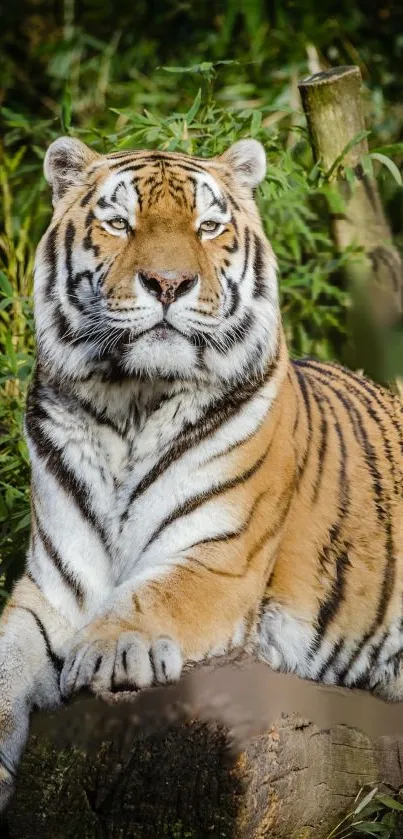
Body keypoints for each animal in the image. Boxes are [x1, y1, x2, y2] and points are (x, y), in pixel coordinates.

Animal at [0, 133, 403, 812]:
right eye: (119, 223)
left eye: (208, 227)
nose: (169, 283)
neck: (130, 406)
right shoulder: (53, 587)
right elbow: (6, 660)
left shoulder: (218, 560)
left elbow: (151, 594)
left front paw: (107, 652)